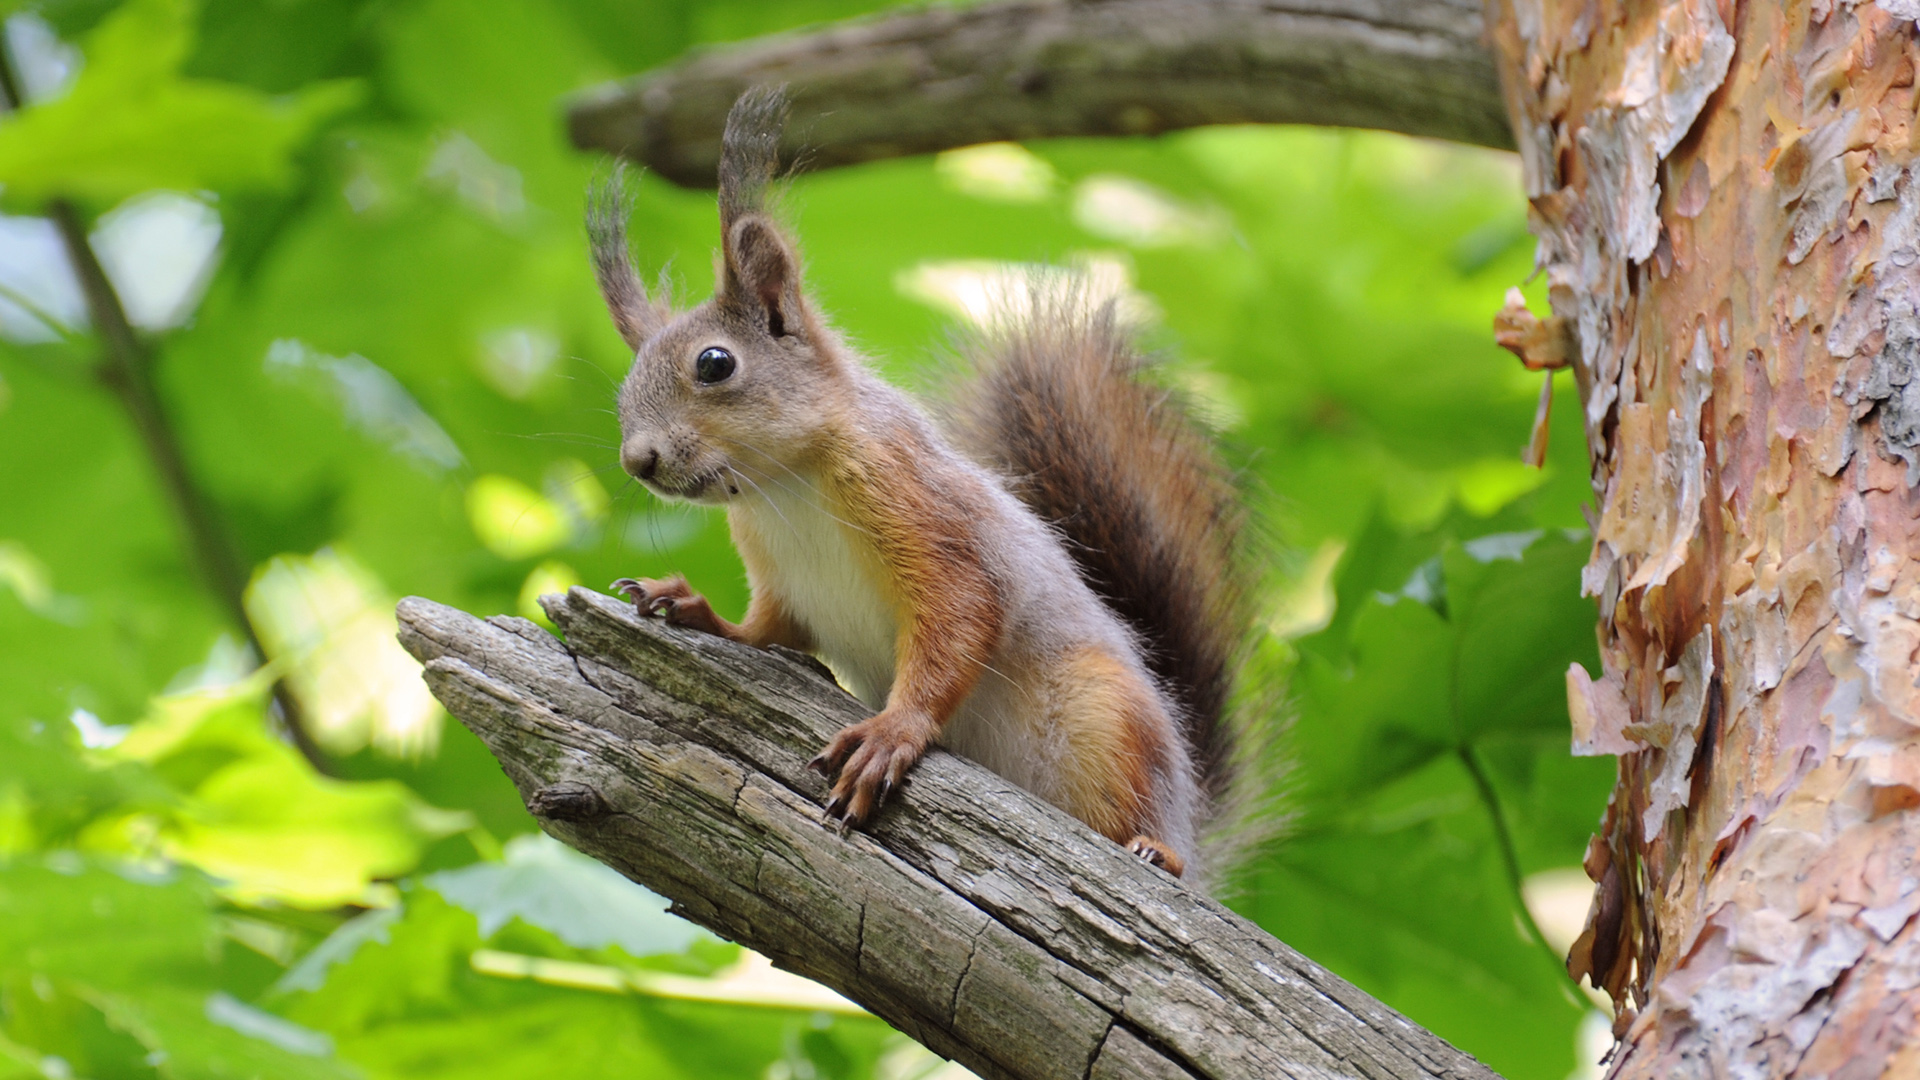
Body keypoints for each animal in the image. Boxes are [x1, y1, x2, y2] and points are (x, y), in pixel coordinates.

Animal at [591, 90, 1251, 883]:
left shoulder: (919, 506)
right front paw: (688, 606)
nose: (639, 460)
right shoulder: (784, 584)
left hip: (1105, 716)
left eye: (714, 364)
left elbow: (959, 619)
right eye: (625, 387)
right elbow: (767, 630)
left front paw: (892, 732)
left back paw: (1156, 850)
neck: (783, 489)